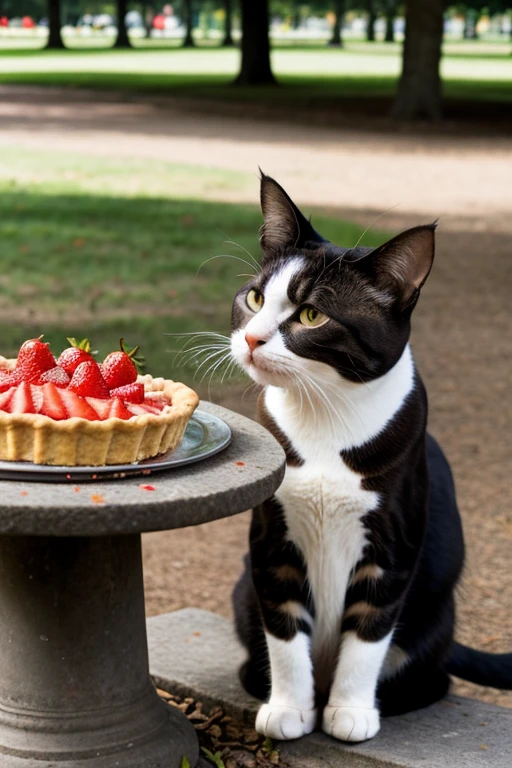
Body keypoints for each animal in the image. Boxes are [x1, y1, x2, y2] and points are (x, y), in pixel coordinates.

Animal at [229, 174, 512, 744]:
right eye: (254, 298)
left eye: (311, 315)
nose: (250, 337)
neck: (323, 419)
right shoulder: (271, 541)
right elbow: (284, 626)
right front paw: (289, 708)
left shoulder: (393, 545)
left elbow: (369, 632)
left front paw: (350, 712)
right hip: (241, 591)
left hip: (434, 611)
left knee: (432, 675)